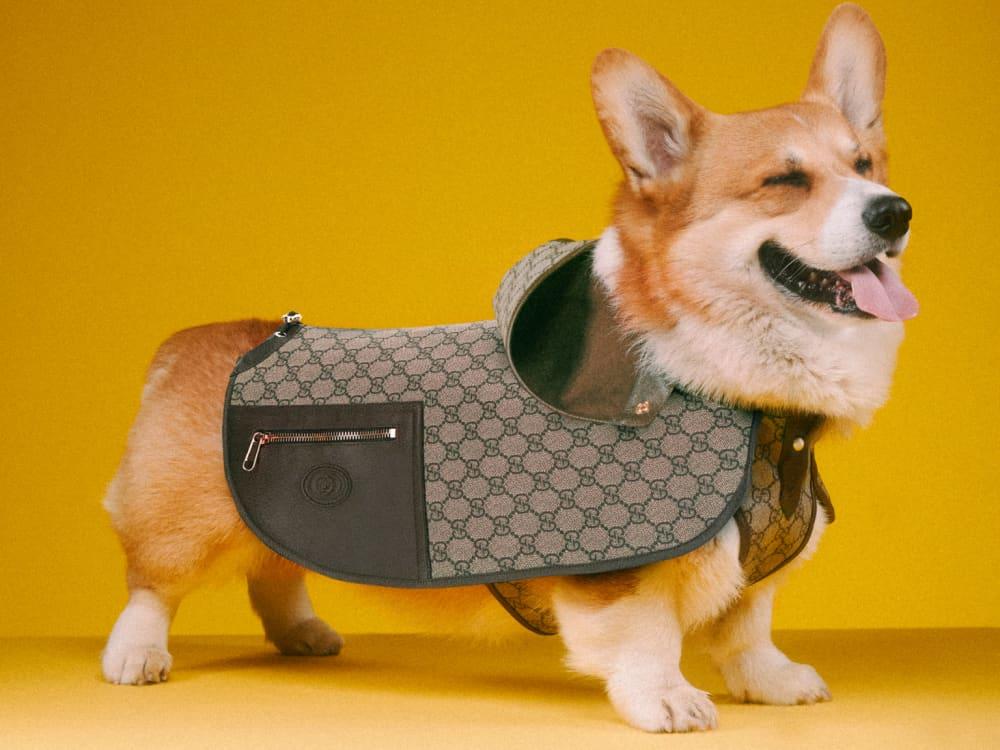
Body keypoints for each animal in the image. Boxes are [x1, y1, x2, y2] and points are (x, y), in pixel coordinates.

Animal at [101, 4, 916, 736]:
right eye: (785, 181)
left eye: (863, 164)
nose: (894, 211)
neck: (728, 379)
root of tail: (195, 340)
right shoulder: (617, 573)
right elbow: (647, 635)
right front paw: (668, 699)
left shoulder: (754, 566)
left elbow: (749, 626)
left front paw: (773, 681)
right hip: (184, 525)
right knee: (152, 584)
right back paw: (136, 655)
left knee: (275, 568)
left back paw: (302, 634)